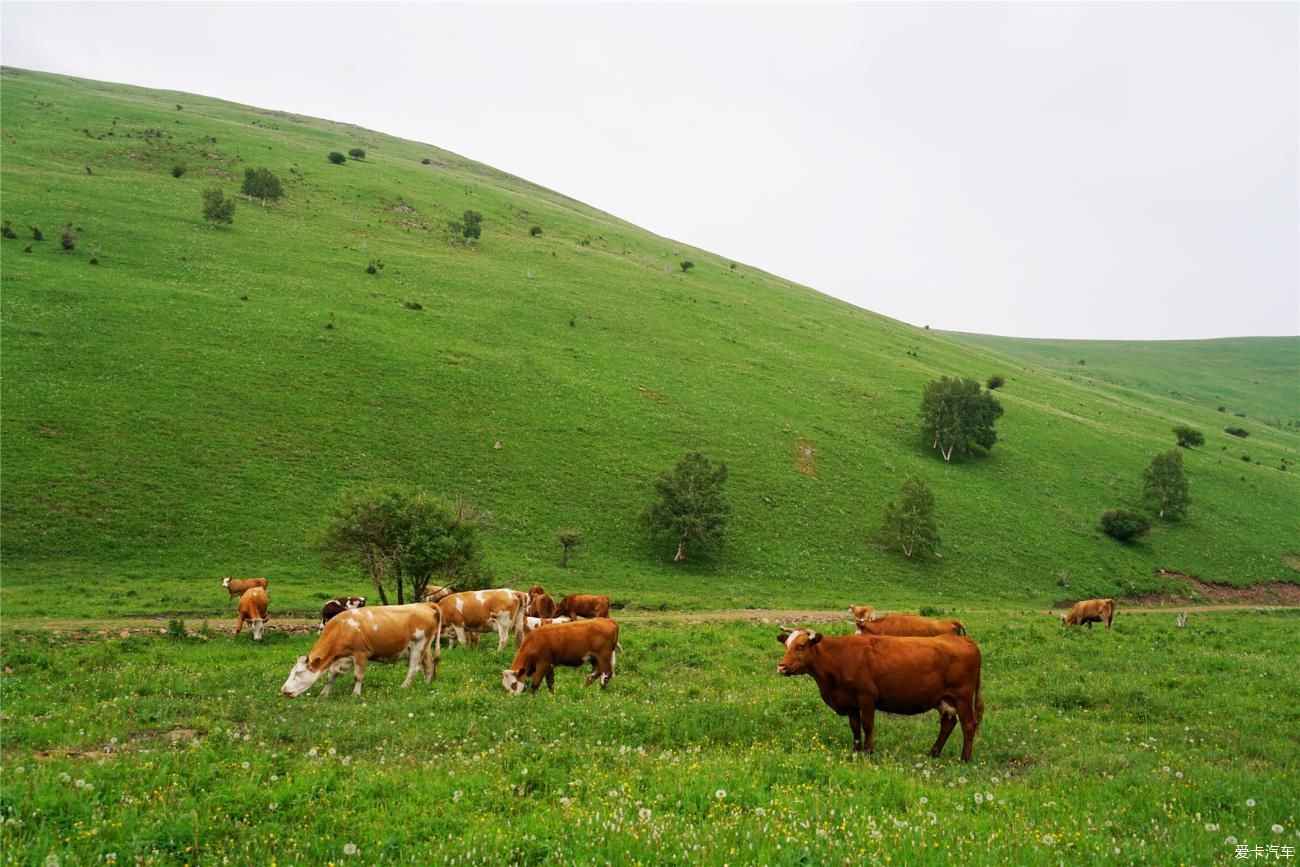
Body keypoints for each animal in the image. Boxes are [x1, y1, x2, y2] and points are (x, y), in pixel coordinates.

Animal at [279, 603, 441, 696]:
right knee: (429, 666)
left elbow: (358, 676)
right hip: (425, 647)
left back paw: (403, 687)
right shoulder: (340, 659)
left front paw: (355, 694)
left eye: (299, 673)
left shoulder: (361, 654)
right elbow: (331, 676)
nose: (284, 690)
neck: (343, 628)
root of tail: (424, 604)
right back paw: (427, 685)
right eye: (291, 672)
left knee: (414, 668)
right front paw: (324, 694)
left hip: (418, 645)